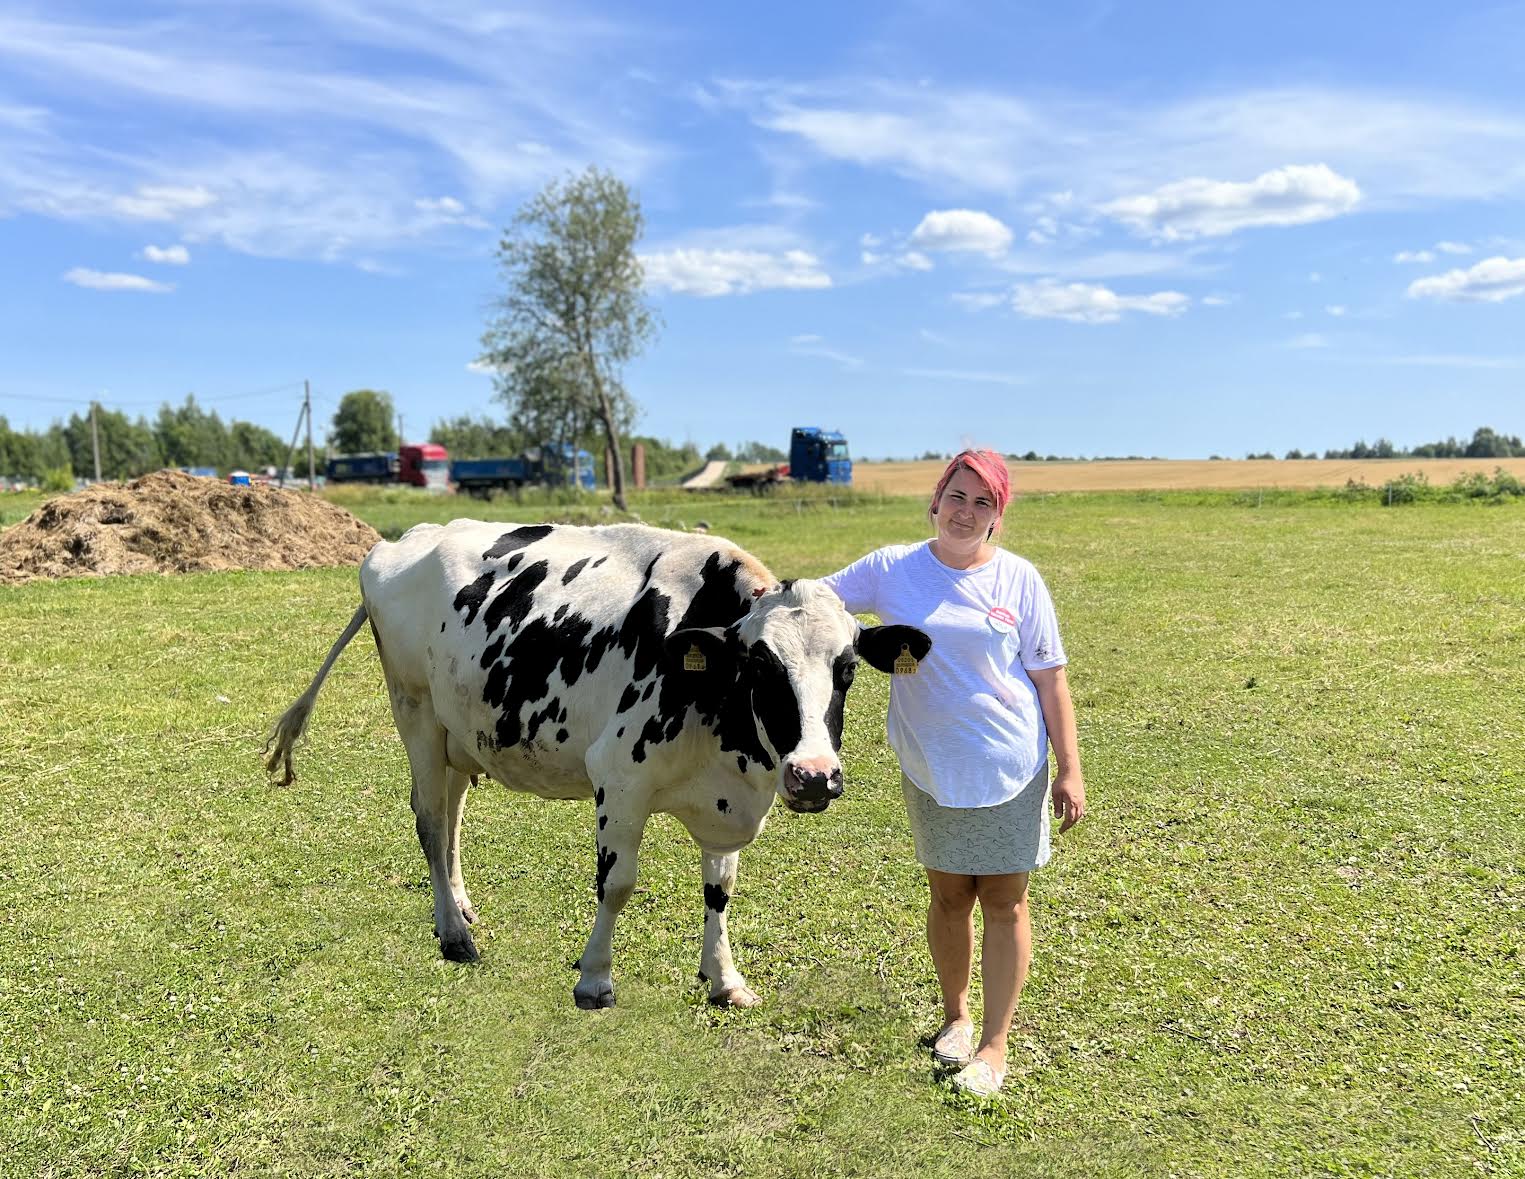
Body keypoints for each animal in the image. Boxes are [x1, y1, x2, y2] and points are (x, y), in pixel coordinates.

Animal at [265, 518, 927, 1006]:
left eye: (848, 668)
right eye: (762, 666)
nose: (814, 776)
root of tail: (399, 541)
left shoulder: (727, 798)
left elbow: (720, 889)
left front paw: (724, 978)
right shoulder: (620, 776)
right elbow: (617, 883)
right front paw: (595, 978)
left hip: (460, 733)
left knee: (451, 820)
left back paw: (458, 908)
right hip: (418, 715)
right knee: (429, 822)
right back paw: (454, 935)